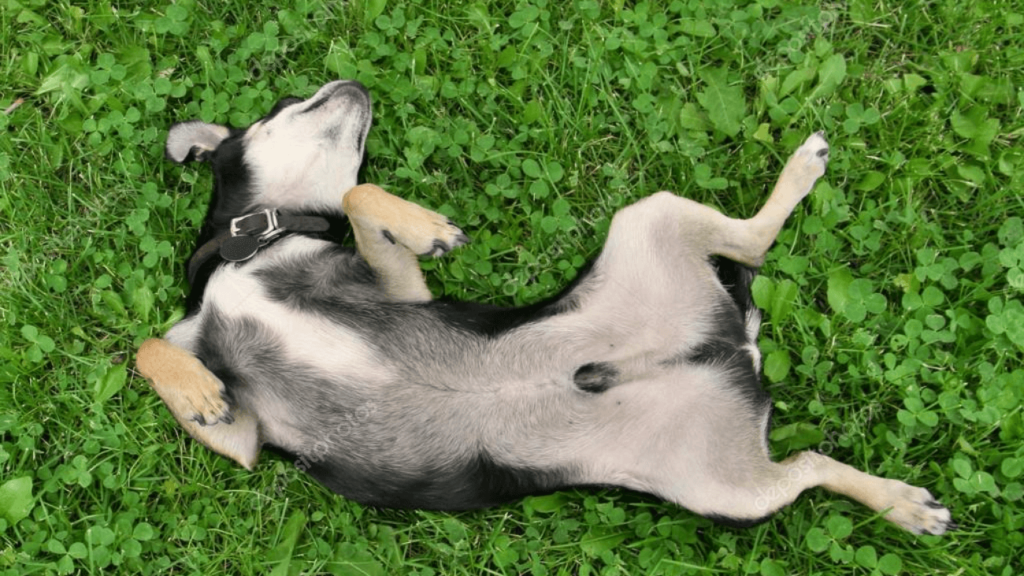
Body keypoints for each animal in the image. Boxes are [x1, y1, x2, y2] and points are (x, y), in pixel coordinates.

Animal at [136, 78, 950, 532]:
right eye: (284, 103)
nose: (354, 81)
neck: (256, 242)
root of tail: (732, 348)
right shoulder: (245, 442)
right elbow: (151, 347)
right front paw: (197, 389)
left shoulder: (400, 292)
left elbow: (358, 194)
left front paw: (427, 225)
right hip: (727, 485)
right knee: (806, 451)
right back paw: (901, 502)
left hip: (653, 231)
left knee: (752, 248)